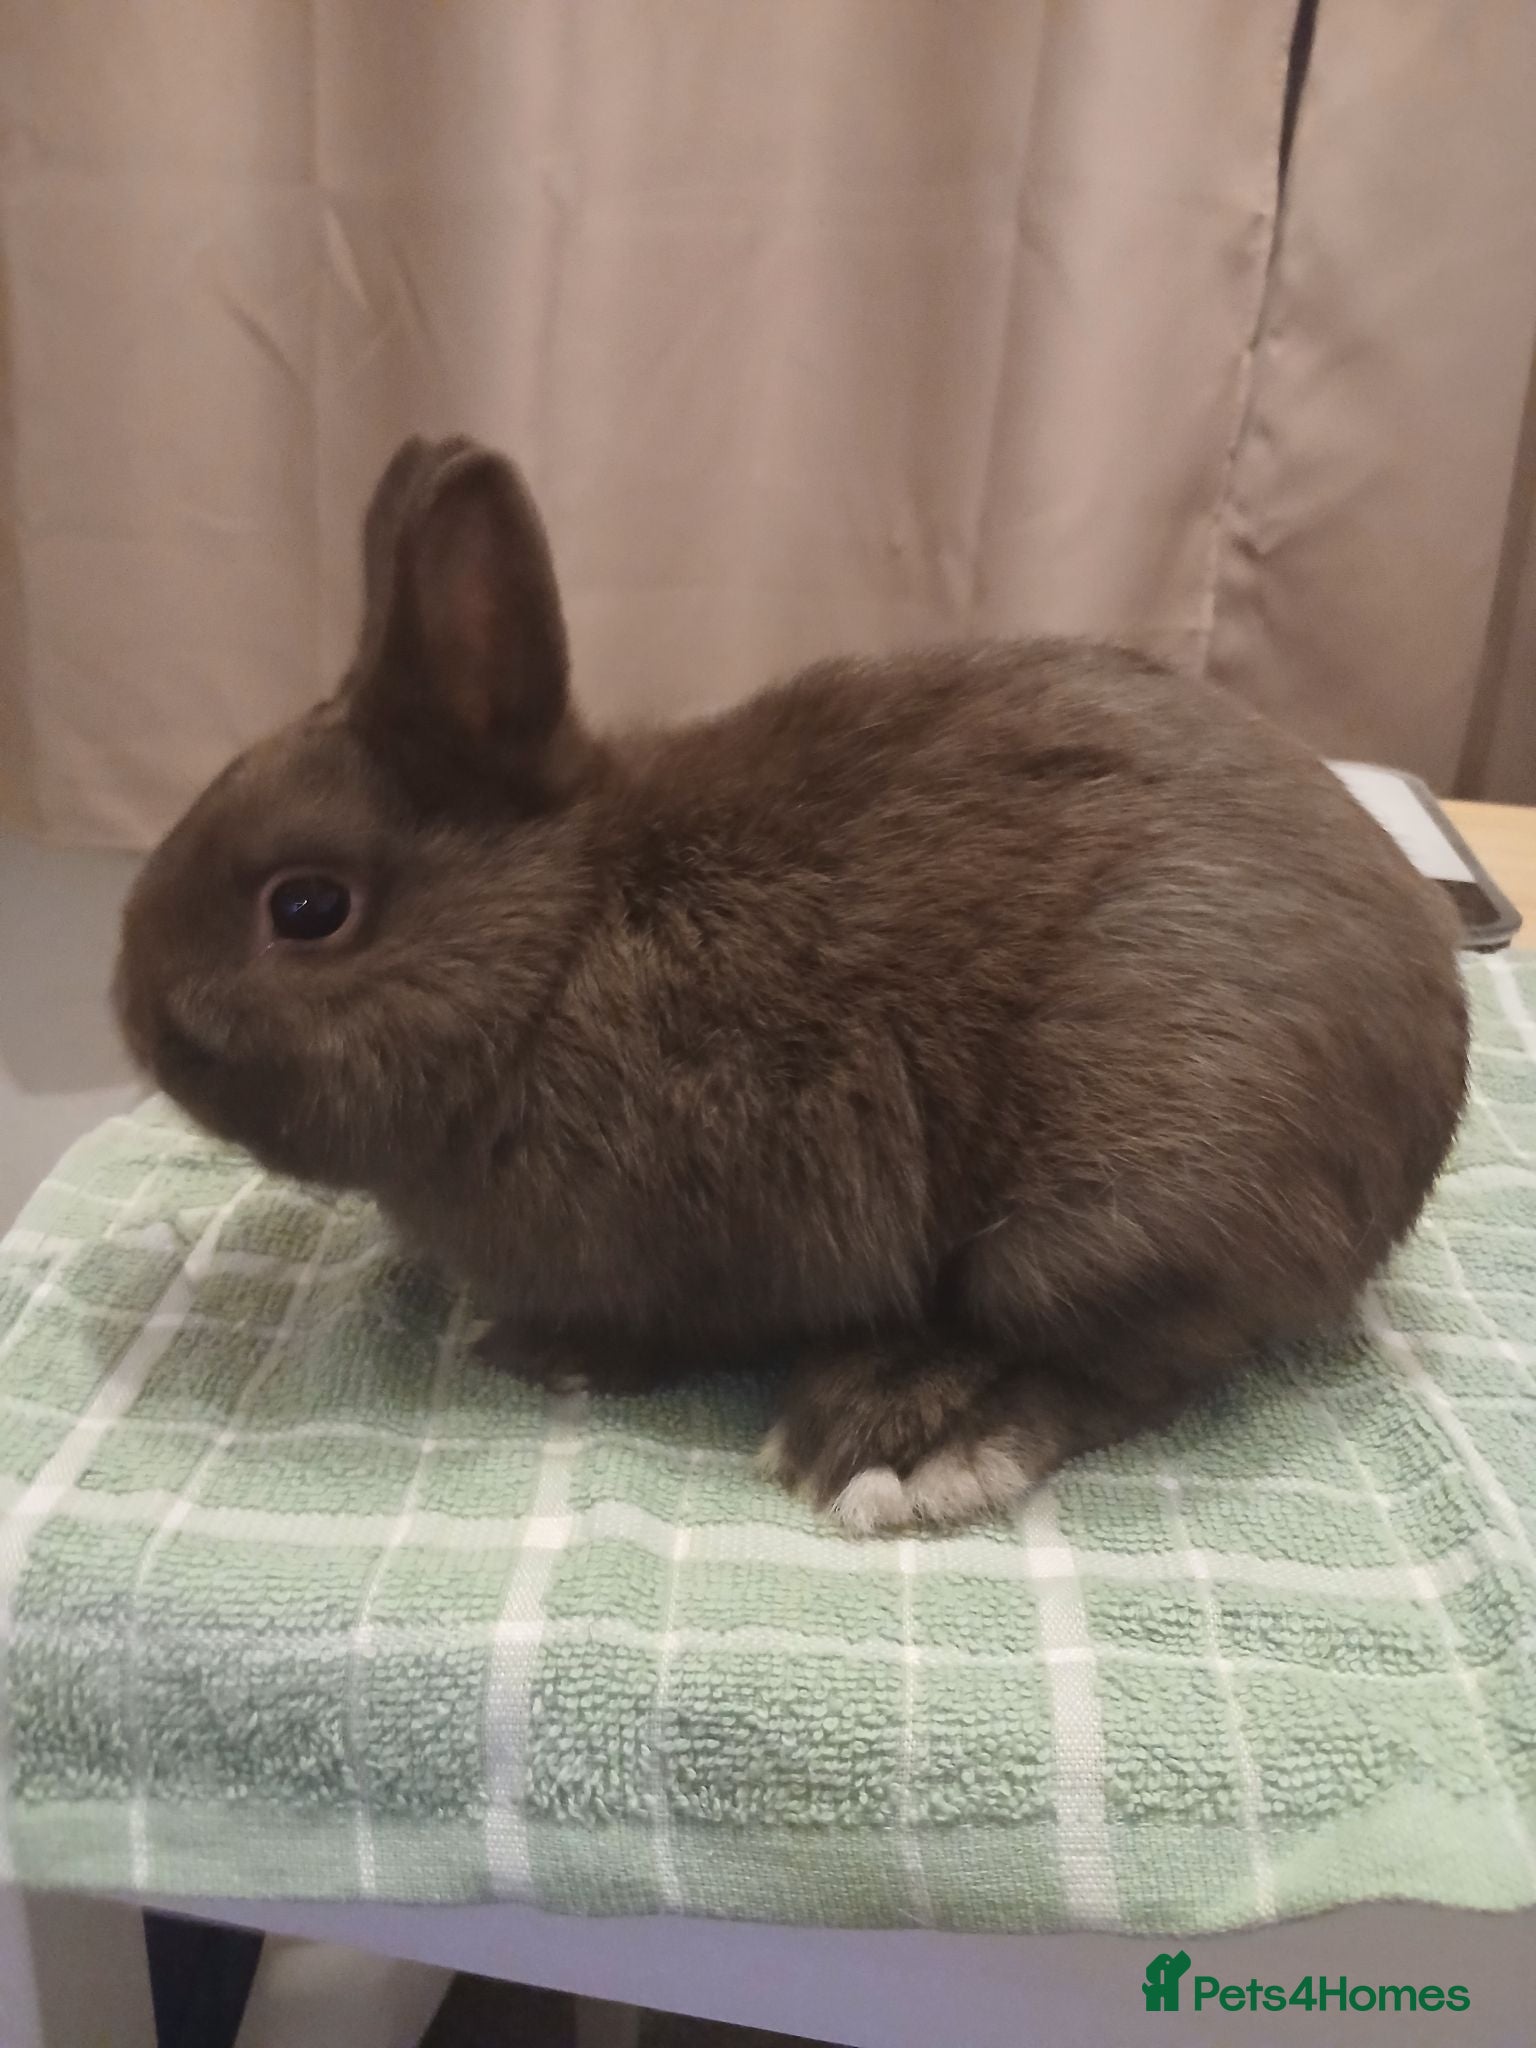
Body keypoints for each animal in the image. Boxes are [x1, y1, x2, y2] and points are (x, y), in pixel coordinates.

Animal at [114, 434, 1468, 1534]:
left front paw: (540, 1349)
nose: (135, 1018)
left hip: (1114, 1204)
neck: (558, 951)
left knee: (1115, 1362)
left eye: (305, 907)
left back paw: (901, 1435)